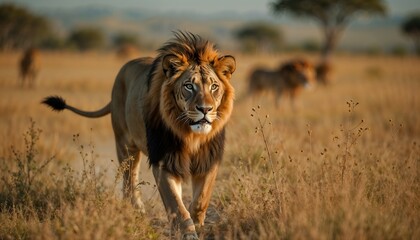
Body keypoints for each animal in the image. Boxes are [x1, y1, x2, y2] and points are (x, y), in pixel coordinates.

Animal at [42, 31, 236, 238]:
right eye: (189, 86)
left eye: (214, 86)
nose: (205, 109)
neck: (190, 135)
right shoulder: (163, 162)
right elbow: (176, 206)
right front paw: (186, 232)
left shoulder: (208, 160)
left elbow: (200, 201)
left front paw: (198, 226)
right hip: (125, 145)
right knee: (129, 180)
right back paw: (136, 211)